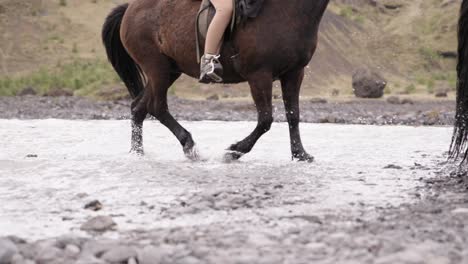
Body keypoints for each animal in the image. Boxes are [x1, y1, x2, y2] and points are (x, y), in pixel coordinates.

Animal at [102, 0, 330, 162]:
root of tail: (130, 8)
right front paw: (234, 151)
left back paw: (137, 153)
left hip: (169, 71)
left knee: (139, 107)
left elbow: (293, 115)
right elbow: (265, 120)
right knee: (157, 107)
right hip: (156, 68)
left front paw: (300, 154)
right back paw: (190, 146)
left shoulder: (294, 73)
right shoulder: (259, 75)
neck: (287, 12)